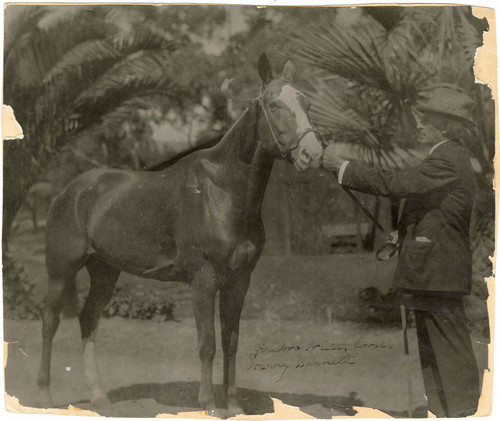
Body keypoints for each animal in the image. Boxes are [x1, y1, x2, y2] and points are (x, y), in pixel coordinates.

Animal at [36, 53, 324, 416]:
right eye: (274, 105)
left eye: (307, 104)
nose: (312, 154)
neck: (222, 192)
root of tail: (67, 192)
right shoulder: (203, 280)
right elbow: (207, 343)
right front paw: (210, 405)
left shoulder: (239, 280)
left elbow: (231, 341)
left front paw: (234, 405)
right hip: (61, 270)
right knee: (50, 320)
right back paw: (44, 395)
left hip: (104, 271)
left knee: (88, 319)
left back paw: (99, 396)